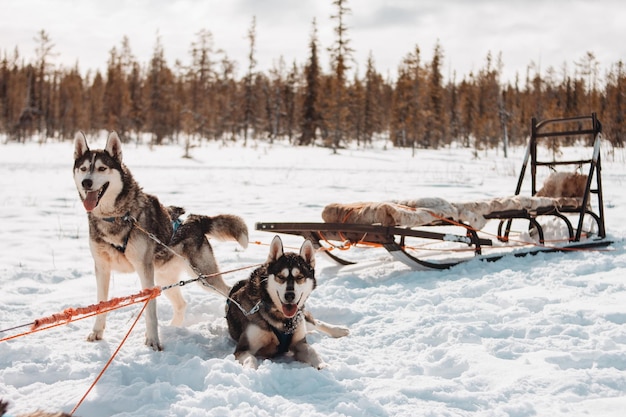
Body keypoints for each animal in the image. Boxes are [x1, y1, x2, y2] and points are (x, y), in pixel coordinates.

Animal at [74, 132, 247, 348]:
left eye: (102, 168)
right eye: (83, 168)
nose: (86, 182)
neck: (114, 217)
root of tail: (196, 219)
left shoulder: (145, 270)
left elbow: (150, 310)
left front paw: (153, 341)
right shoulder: (102, 268)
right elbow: (101, 304)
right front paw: (97, 332)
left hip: (204, 277)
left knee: (229, 291)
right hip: (165, 277)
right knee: (182, 304)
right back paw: (174, 328)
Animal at [224, 234, 346, 368]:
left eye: (299, 277)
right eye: (281, 277)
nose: (289, 295)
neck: (283, 320)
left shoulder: (299, 343)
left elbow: (312, 350)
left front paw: (322, 365)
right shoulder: (243, 348)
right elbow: (251, 359)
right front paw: (250, 370)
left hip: (302, 320)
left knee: (314, 322)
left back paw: (339, 330)